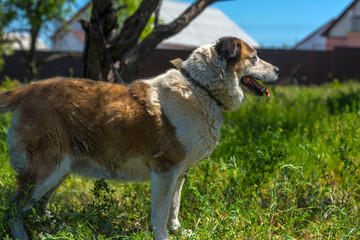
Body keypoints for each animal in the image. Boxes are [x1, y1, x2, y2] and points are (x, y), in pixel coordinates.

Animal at [0, 36, 278, 239]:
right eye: (254, 58)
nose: (277, 68)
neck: (201, 88)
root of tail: (28, 90)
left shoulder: (179, 174)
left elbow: (174, 207)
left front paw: (178, 231)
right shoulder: (165, 171)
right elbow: (160, 214)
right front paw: (164, 237)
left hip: (60, 169)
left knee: (39, 206)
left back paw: (55, 228)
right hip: (46, 170)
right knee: (14, 210)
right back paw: (23, 235)